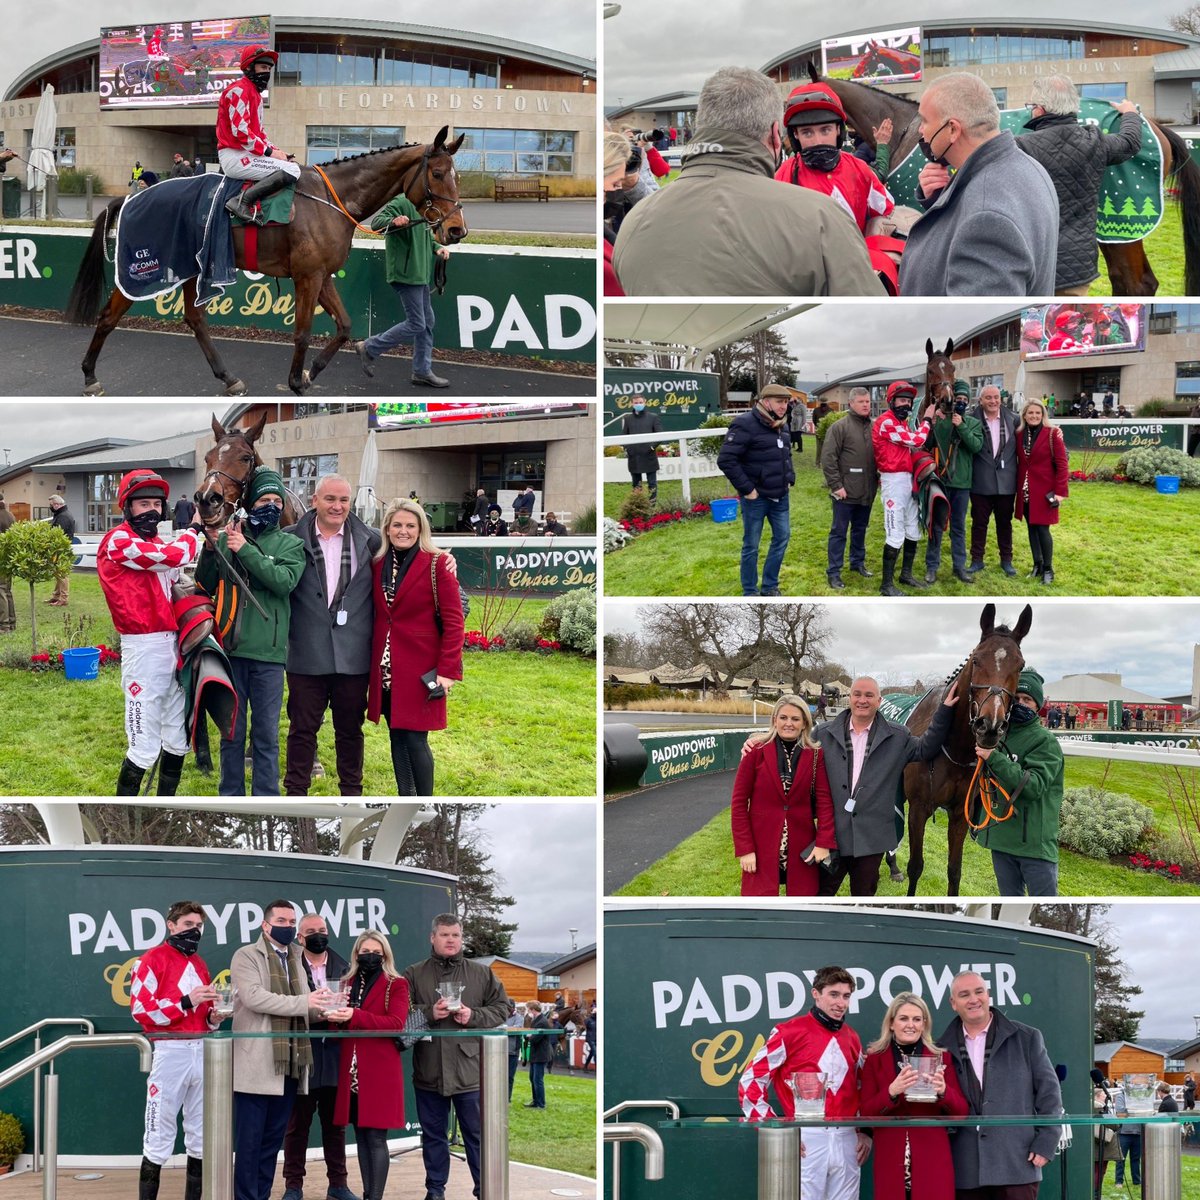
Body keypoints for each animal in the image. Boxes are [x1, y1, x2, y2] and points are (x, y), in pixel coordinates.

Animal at [63, 127, 468, 398]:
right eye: (436, 174)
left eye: (458, 176)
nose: (456, 230)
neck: (329, 200)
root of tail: (133, 197)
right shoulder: (308, 276)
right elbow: (303, 332)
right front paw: (295, 382)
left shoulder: (323, 275)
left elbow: (344, 326)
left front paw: (311, 373)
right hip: (145, 268)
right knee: (108, 317)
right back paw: (89, 376)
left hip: (194, 268)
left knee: (194, 318)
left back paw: (228, 377)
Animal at [902, 604, 1032, 897]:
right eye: (976, 660)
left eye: (1020, 665)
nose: (990, 725)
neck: (954, 749)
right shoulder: (918, 809)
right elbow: (915, 866)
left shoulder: (960, 815)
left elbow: (954, 871)